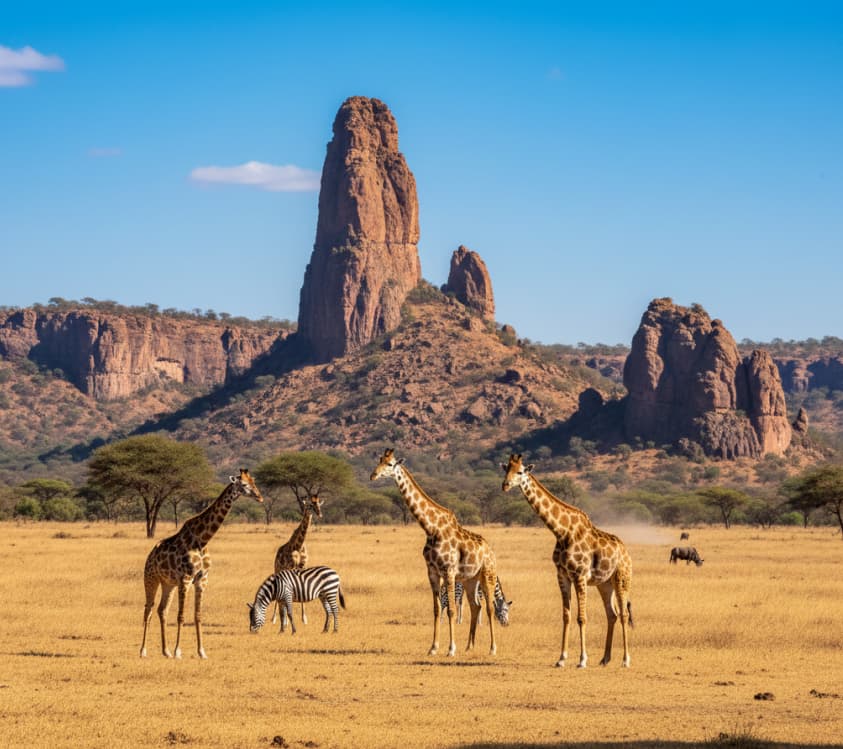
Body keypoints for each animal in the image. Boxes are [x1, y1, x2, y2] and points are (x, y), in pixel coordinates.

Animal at [139, 468, 264, 659]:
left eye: (254, 482)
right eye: (243, 484)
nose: (260, 497)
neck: (202, 540)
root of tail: (150, 555)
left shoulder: (201, 580)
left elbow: (198, 615)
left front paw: (201, 652)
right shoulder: (186, 579)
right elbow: (181, 616)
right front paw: (178, 652)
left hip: (168, 583)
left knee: (162, 610)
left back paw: (165, 651)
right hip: (151, 578)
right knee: (148, 610)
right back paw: (143, 651)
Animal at [272, 494, 323, 627]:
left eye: (318, 504)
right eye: (309, 505)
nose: (319, 514)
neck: (298, 546)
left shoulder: (302, 567)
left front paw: (304, 619)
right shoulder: (290, 567)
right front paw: (286, 620)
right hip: (277, 569)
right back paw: (274, 618)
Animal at [370, 448, 501, 657]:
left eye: (390, 464)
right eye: (379, 460)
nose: (373, 475)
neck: (431, 528)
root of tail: (490, 550)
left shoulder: (448, 571)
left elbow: (451, 610)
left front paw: (451, 649)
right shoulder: (432, 571)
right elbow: (437, 609)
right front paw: (433, 648)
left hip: (488, 574)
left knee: (489, 607)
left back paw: (492, 648)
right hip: (470, 579)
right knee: (476, 606)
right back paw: (469, 646)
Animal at [501, 453, 633, 668]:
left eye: (520, 472)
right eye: (506, 470)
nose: (504, 485)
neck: (561, 532)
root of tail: (626, 552)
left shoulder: (579, 576)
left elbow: (581, 618)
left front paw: (582, 660)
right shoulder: (562, 576)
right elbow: (566, 616)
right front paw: (561, 658)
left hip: (622, 579)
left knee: (624, 614)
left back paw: (625, 660)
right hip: (604, 584)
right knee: (611, 614)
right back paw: (605, 659)